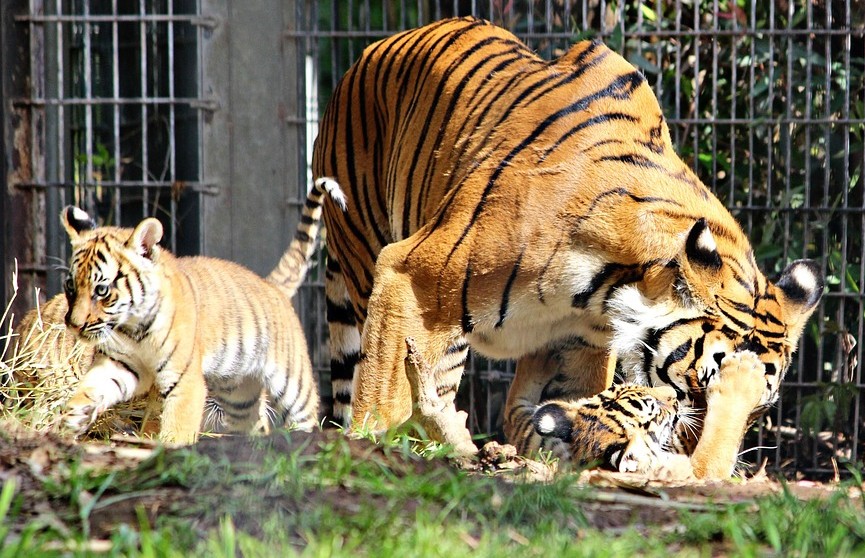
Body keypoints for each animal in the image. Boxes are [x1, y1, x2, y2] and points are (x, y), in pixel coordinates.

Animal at [318, 18, 824, 482]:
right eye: (696, 391)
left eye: (762, 412)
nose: (690, 459)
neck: (607, 289)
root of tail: (368, 52)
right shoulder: (410, 276)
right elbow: (381, 396)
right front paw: (369, 453)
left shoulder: (578, 345)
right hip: (372, 264)